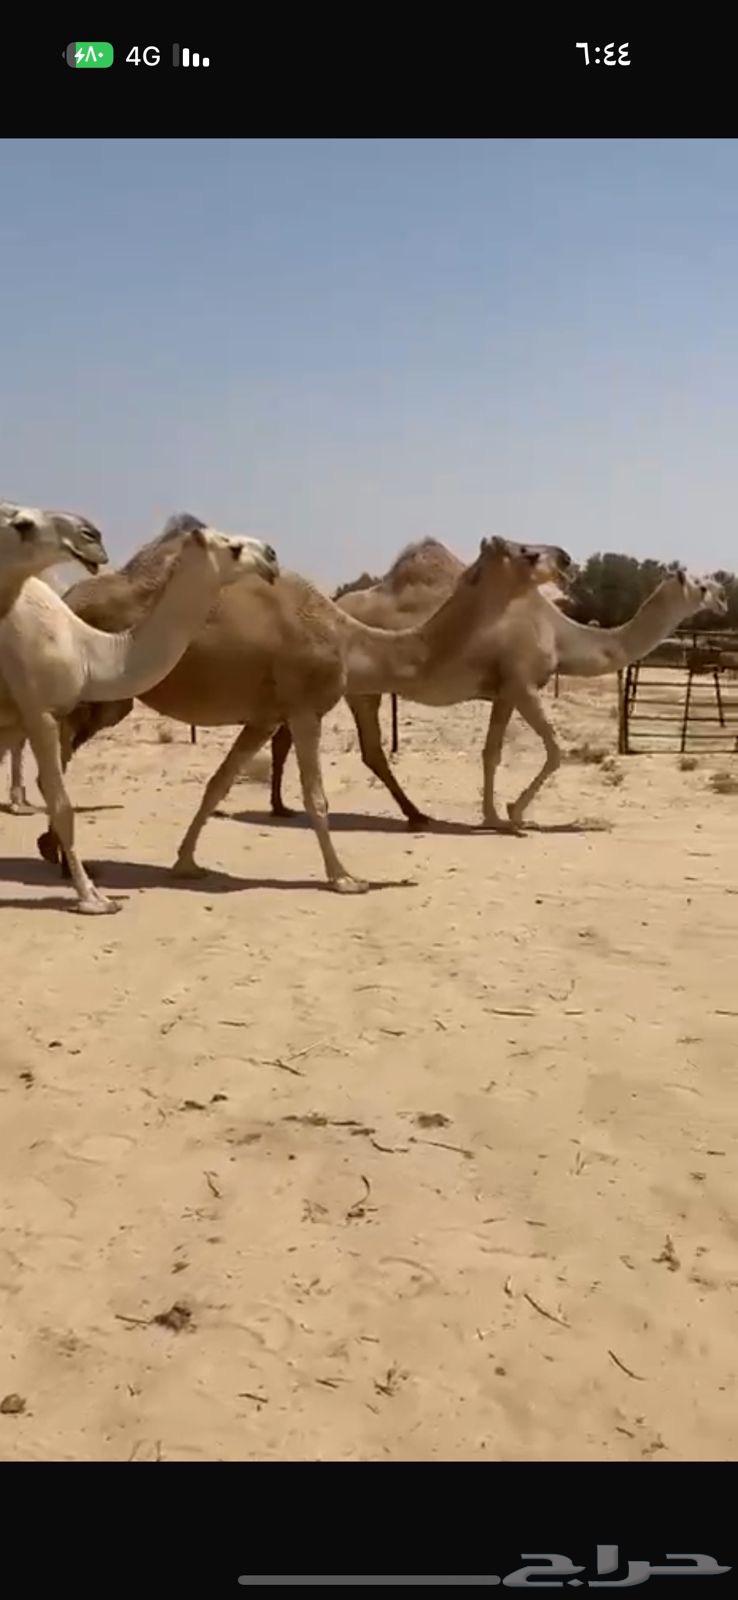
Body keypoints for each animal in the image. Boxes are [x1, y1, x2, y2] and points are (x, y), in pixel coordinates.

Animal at [1, 513, 278, 913]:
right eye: (233, 547)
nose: (271, 555)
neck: (88, 651)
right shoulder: (40, 712)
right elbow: (61, 803)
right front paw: (94, 899)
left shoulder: (14, 719)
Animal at [37, 528, 571, 895]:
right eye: (527, 552)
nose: (564, 556)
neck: (350, 640)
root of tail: (67, 597)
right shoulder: (303, 707)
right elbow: (316, 796)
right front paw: (344, 877)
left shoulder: (265, 715)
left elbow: (218, 784)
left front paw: (186, 861)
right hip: (91, 693)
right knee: (57, 755)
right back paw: (62, 859)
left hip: (103, 700)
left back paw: (54, 852)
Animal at [268, 538, 728, 829]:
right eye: (703, 586)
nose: (723, 598)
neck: (559, 633)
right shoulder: (523, 684)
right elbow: (555, 750)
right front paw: (515, 814)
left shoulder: (504, 691)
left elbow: (491, 753)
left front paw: (491, 815)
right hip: (360, 690)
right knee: (371, 752)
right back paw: (414, 815)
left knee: (287, 737)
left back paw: (282, 806)